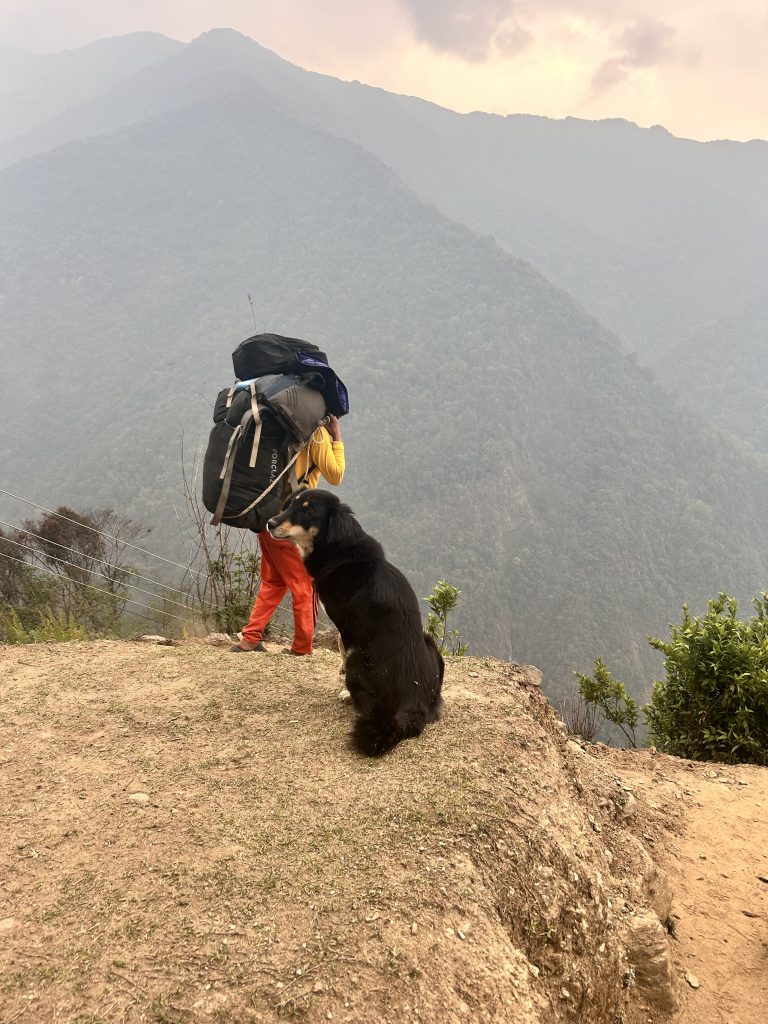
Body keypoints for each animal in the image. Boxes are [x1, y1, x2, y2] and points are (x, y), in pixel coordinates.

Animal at [268, 491, 444, 757]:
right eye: (291, 504)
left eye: (306, 510)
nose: (270, 523)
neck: (341, 554)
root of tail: (413, 699)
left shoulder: (345, 626)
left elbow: (341, 646)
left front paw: (341, 678)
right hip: (429, 642)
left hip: (359, 661)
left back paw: (349, 696)